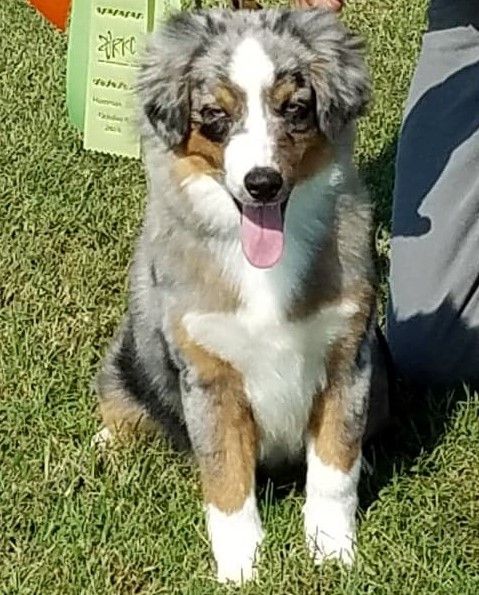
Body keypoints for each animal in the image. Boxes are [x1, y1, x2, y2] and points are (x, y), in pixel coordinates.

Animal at [94, 8, 375, 583]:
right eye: (215, 116)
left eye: (295, 108)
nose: (262, 183)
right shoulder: (209, 376)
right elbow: (225, 482)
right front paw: (241, 570)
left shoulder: (347, 357)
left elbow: (335, 470)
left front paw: (333, 555)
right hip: (128, 358)